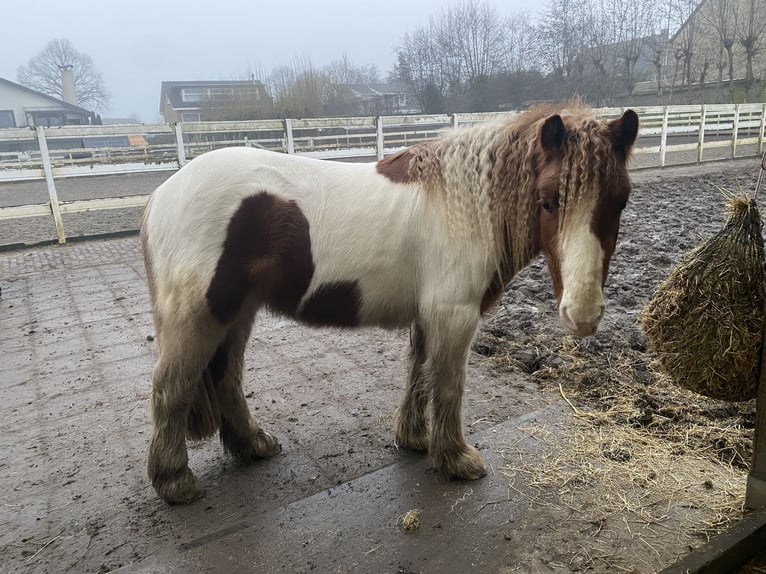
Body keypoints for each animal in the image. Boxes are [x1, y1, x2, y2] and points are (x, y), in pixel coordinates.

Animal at [141, 102, 640, 504]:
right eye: (548, 201)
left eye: (620, 201)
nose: (583, 314)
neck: (464, 205)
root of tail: (161, 194)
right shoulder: (454, 316)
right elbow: (448, 385)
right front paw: (456, 459)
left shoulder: (429, 316)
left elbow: (418, 372)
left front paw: (415, 439)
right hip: (200, 317)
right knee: (171, 387)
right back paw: (175, 482)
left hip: (237, 313)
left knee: (226, 376)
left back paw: (254, 445)